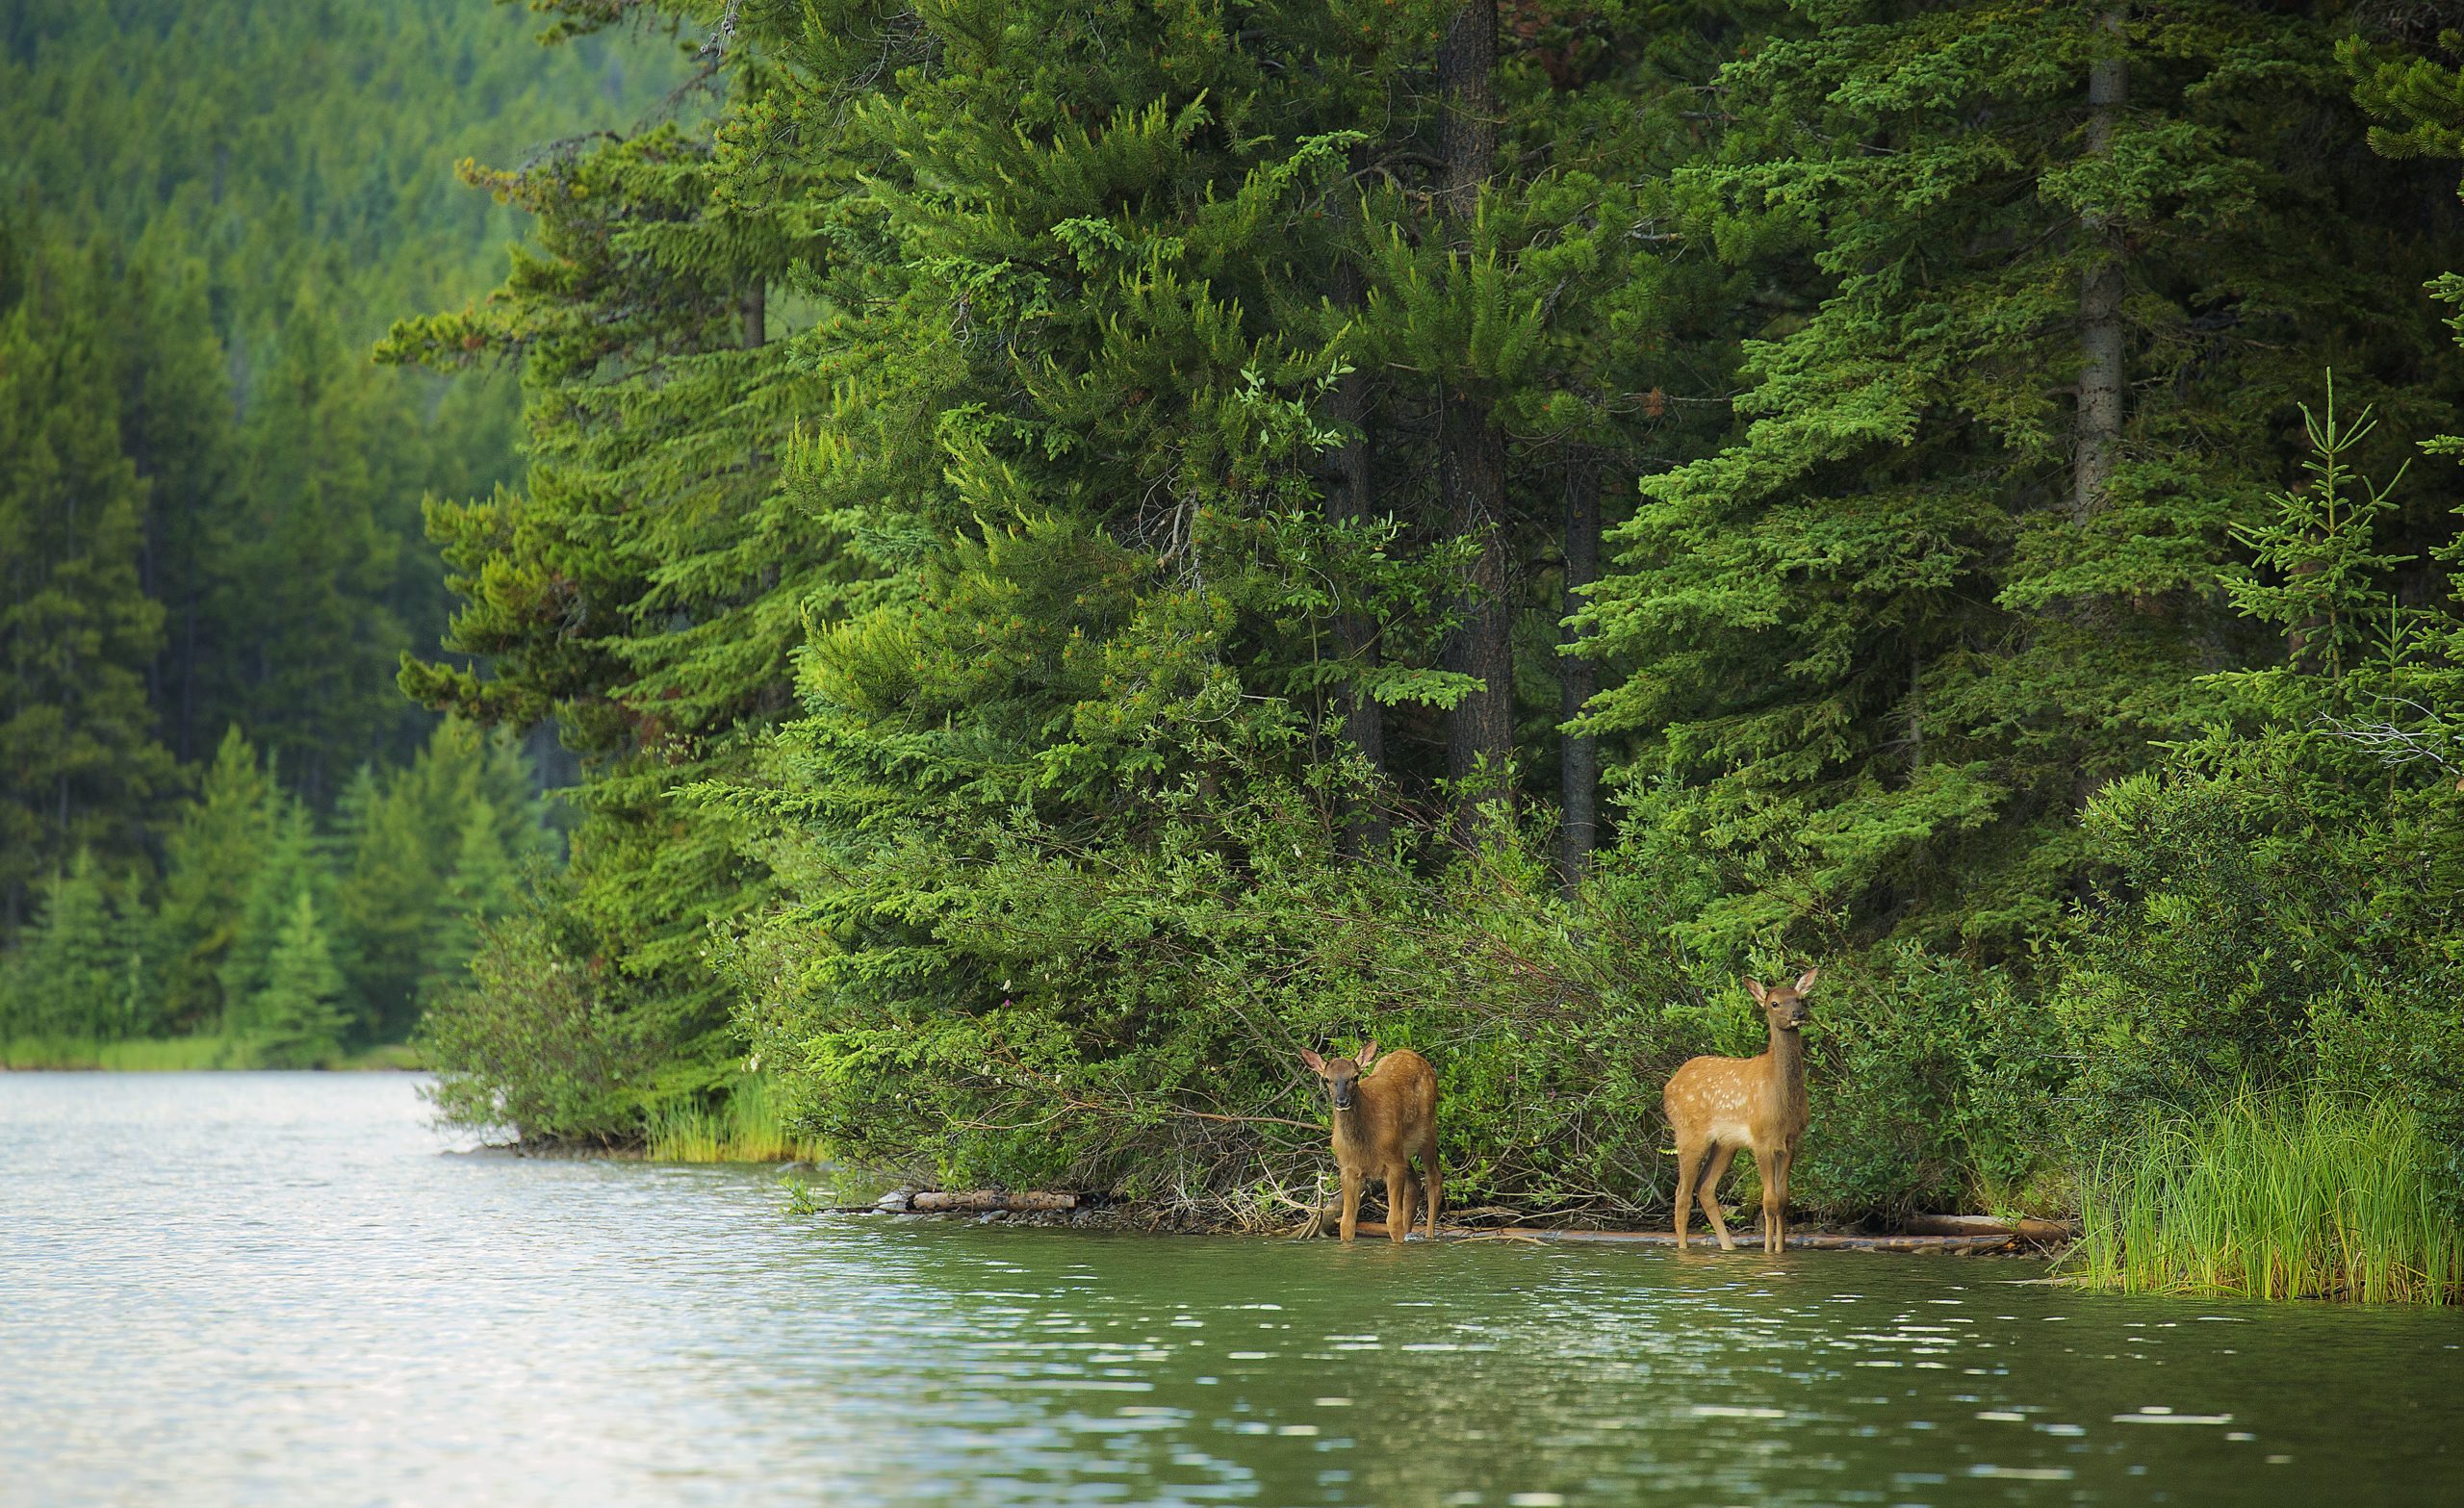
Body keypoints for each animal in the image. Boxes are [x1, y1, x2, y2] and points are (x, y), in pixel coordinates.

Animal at [1300, 1044, 1439, 1241]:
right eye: (1327, 1079)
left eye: (1355, 1076)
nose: (1342, 1101)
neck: (1363, 1143)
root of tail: (1413, 1054)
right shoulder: (1348, 1169)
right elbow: (1346, 1222)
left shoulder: (1393, 1163)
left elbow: (1393, 1221)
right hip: (1403, 1151)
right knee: (1414, 1184)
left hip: (1427, 1131)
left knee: (1434, 1178)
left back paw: (1429, 1236)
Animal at [1665, 970, 1823, 1256]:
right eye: (1774, 1003)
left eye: (1799, 998)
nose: (1798, 1014)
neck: (1781, 1102)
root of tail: (1669, 1085)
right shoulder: (1761, 1139)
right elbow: (1769, 1200)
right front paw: (1768, 1252)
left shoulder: (1791, 1141)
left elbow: (1784, 1200)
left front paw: (1781, 1250)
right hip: (1689, 1133)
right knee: (1682, 1194)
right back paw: (1684, 1250)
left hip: (1726, 1143)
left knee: (1705, 1187)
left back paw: (1729, 1247)